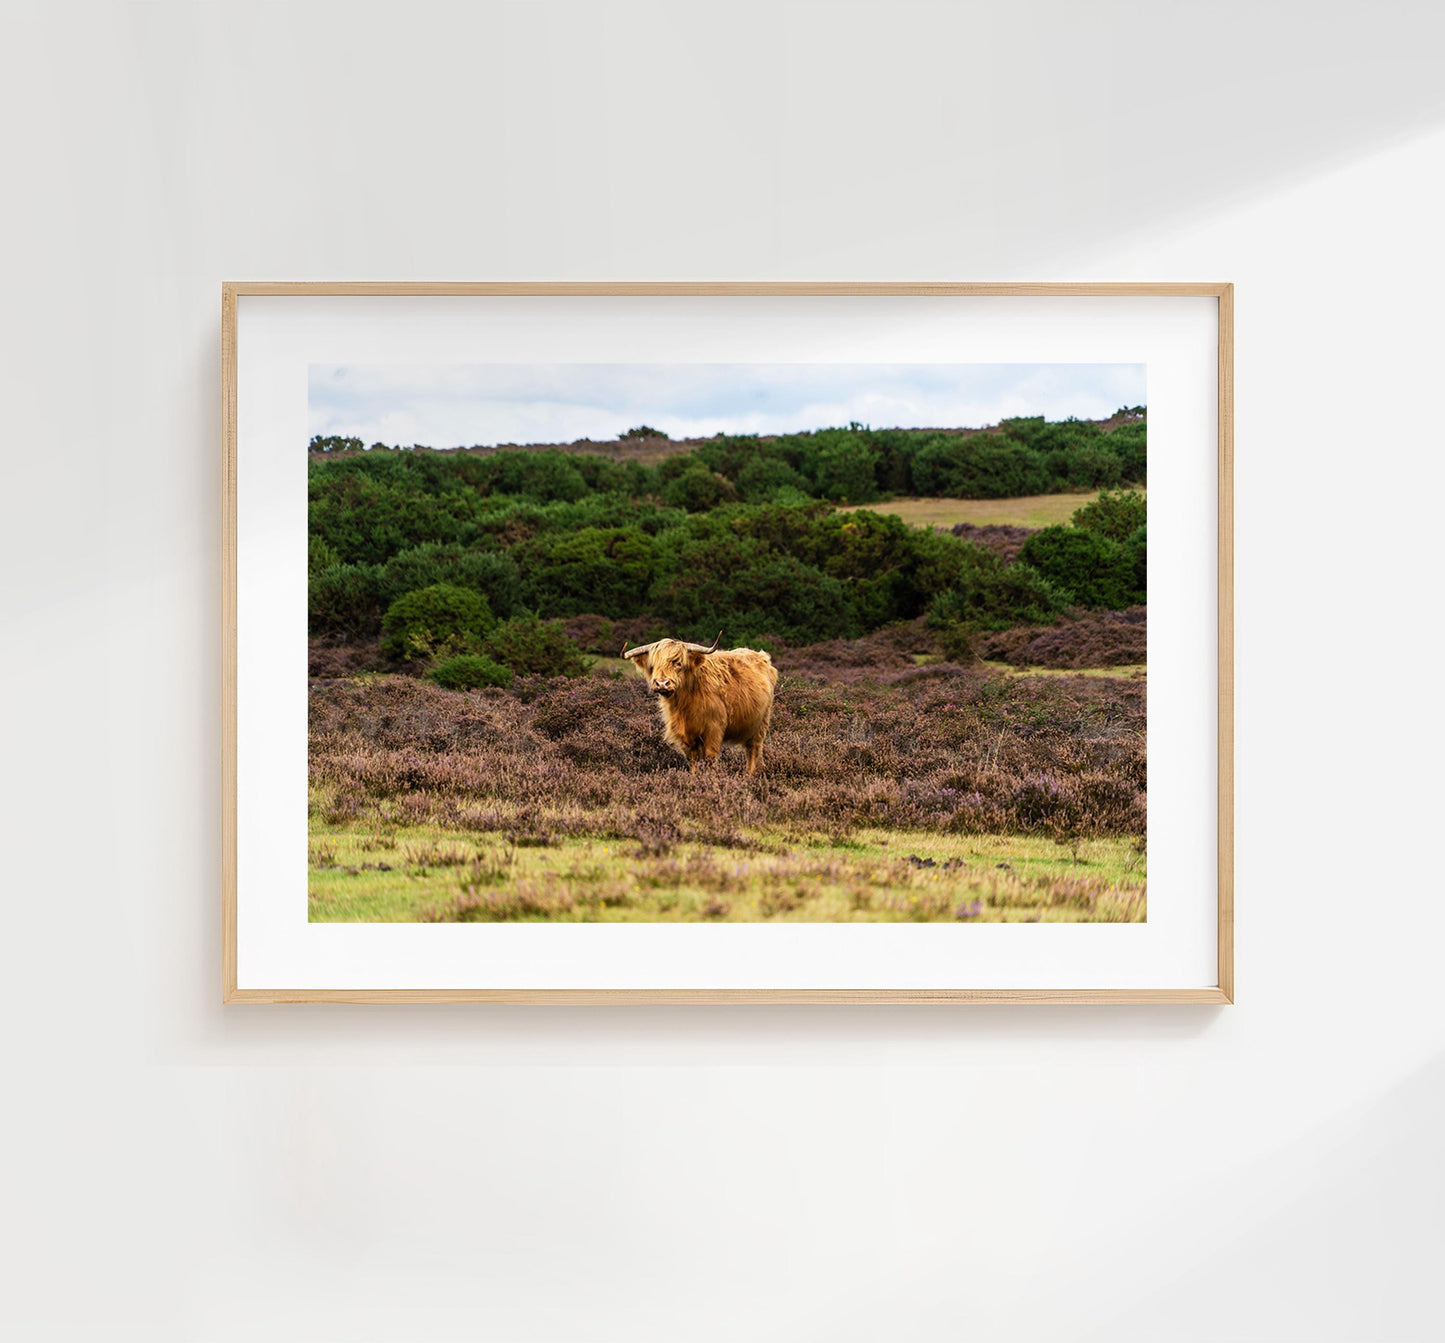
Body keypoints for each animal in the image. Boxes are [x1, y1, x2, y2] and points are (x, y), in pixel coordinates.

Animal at [620, 633, 779, 775]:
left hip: (760, 723)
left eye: (678, 663)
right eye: (652, 666)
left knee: (753, 750)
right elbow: (693, 761)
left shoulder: (713, 730)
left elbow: (710, 759)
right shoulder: (686, 736)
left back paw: (749, 776)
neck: (685, 704)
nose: (662, 683)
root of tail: (762, 656)